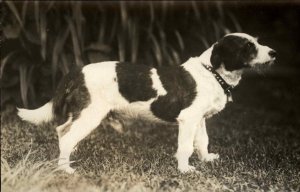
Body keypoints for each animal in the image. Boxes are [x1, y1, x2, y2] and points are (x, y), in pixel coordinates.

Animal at [17, 33, 276, 174]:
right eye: (248, 47)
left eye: (257, 42)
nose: (274, 53)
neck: (212, 72)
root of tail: (77, 71)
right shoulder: (188, 119)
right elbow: (185, 147)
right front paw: (185, 169)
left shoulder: (199, 120)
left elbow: (202, 142)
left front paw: (206, 159)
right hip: (91, 114)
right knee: (67, 136)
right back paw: (65, 168)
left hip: (81, 113)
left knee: (63, 131)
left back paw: (70, 156)